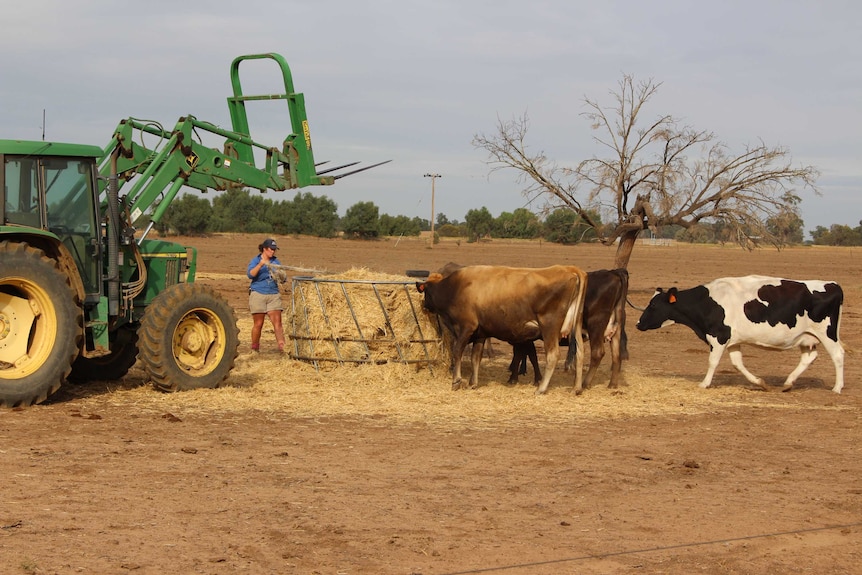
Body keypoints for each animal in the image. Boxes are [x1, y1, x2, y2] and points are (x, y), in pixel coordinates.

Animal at [416, 266, 592, 396]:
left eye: (425, 292)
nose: (424, 306)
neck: (454, 288)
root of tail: (569, 269)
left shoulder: (466, 327)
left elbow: (457, 352)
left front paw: (456, 381)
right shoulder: (480, 334)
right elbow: (475, 358)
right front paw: (473, 383)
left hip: (549, 326)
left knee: (553, 355)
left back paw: (541, 388)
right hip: (576, 326)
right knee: (580, 353)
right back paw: (576, 388)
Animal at [636, 276, 848, 394]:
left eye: (653, 305)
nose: (638, 324)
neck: (706, 301)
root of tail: (833, 285)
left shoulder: (719, 336)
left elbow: (713, 362)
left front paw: (704, 383)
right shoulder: (732, 342)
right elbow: (738, 364)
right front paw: (760, 383)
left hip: (827, 334)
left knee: (838, 355)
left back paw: (837, 387)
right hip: (806, 337)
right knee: (809, 357)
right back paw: (788, 383)